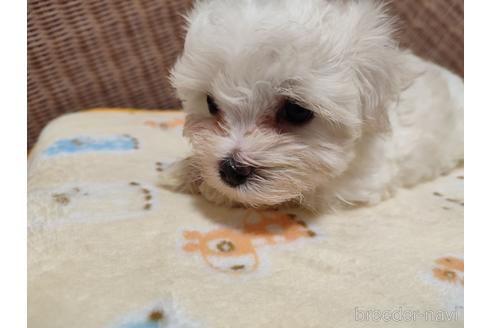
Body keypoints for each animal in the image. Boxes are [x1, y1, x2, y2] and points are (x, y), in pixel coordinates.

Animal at [160, 0, 462, 210]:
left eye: (296, 111)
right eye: (210, 103)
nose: (230, 171)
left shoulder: (359, 181)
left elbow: (299, 190)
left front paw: (214, 190)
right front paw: (186, 170)